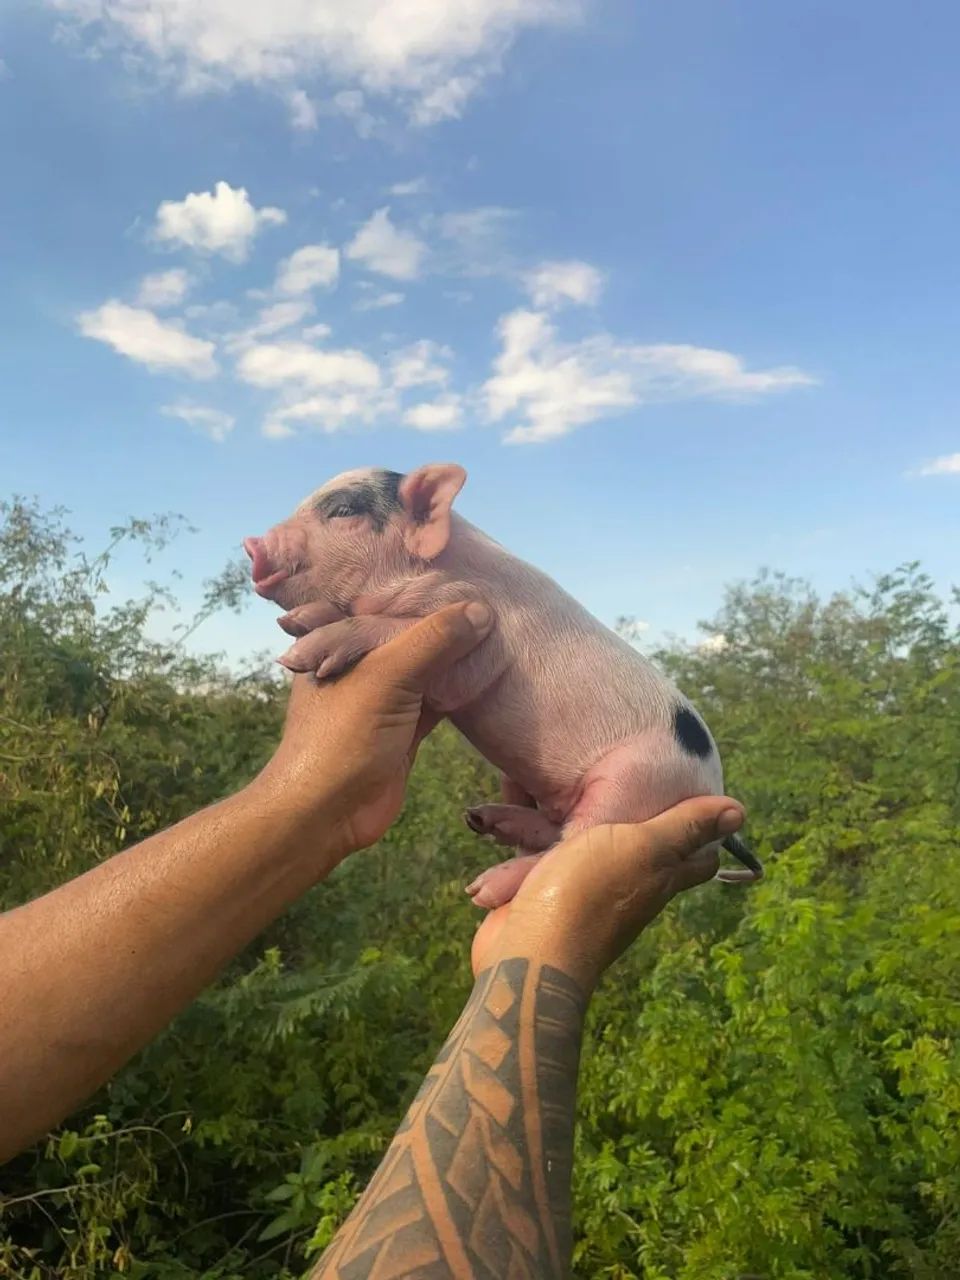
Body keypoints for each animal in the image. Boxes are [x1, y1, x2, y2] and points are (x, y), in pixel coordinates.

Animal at [243, 463, 762, 909]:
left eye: (343, 511)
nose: (251, 543)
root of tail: (711, 786)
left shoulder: (479, 638)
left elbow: (396, 627)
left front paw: (300, 657)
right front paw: (298, 623)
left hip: (632, 784)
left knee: (571, 843)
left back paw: (483, 889)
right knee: (553, 827)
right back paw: (481, 818)